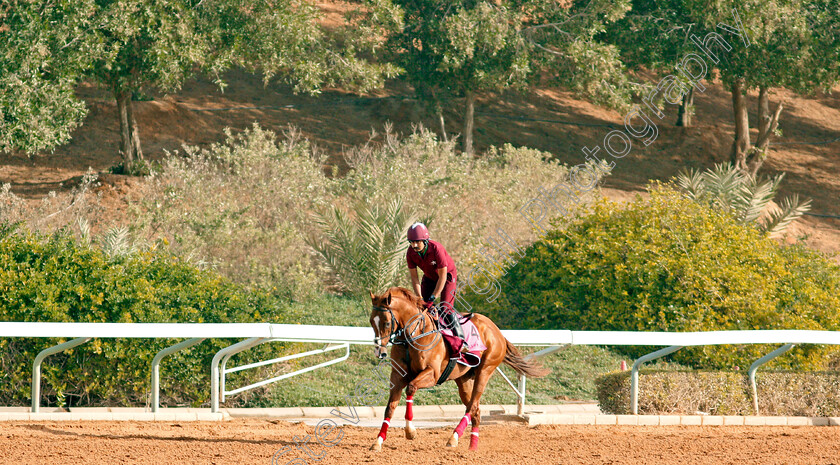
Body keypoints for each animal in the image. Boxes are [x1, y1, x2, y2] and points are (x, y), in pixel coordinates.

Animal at [366, 286, 544, 450]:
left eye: (386, 322)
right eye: (371, 321)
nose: (379, 351)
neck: (413, 334)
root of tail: (497, 331)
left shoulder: (432, 374)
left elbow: (411, 388)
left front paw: (410, 431)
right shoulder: (397, 377)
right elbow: (390, 408)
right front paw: (378, 442)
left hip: (485, 371)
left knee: (471, 406)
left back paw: (453, 438)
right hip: (463, 379)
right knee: (476, 410)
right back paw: (472, 446)